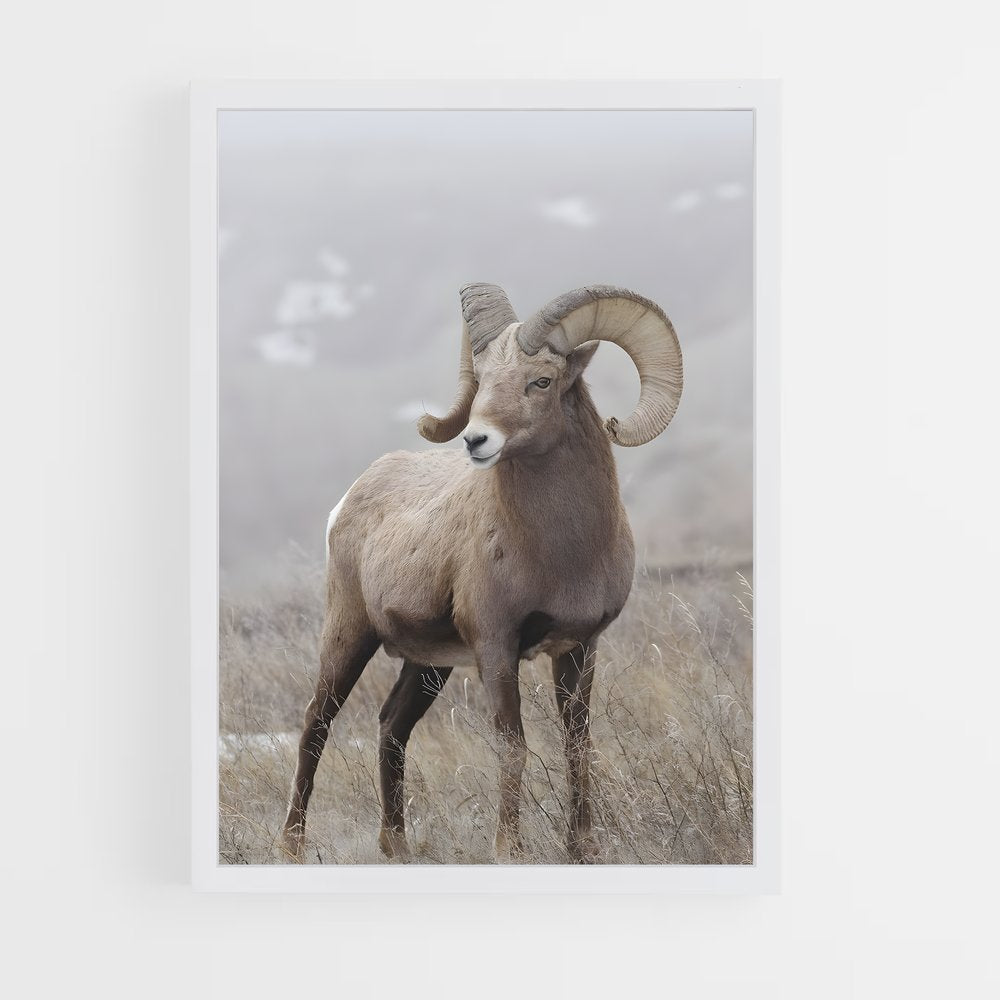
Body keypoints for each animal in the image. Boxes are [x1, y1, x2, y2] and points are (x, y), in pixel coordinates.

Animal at [282, 283, 683, 863]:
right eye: (484, 382)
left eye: (541, 381)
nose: (476, 441)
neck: (560, 553)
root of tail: (351, 497)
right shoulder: (497, 647)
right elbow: (512, 747)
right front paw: (508, 848)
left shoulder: (579, 647)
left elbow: (578, 745)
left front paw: (582, 846)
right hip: (348, 636)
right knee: (316, 725)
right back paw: (291, 844)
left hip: (427, 665)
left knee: (391, 728)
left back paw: (396, 845)